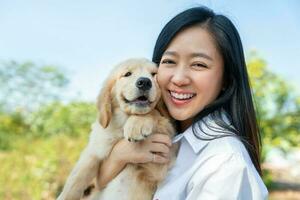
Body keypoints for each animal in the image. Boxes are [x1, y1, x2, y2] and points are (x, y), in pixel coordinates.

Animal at [57, 58, 177, 200]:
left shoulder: (159, 166)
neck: (123, 123)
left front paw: (137, 124)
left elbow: (153, 113)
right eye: (127, 74)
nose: (145, 82)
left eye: (154, 74)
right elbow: (77, 176)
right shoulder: (96, 148)